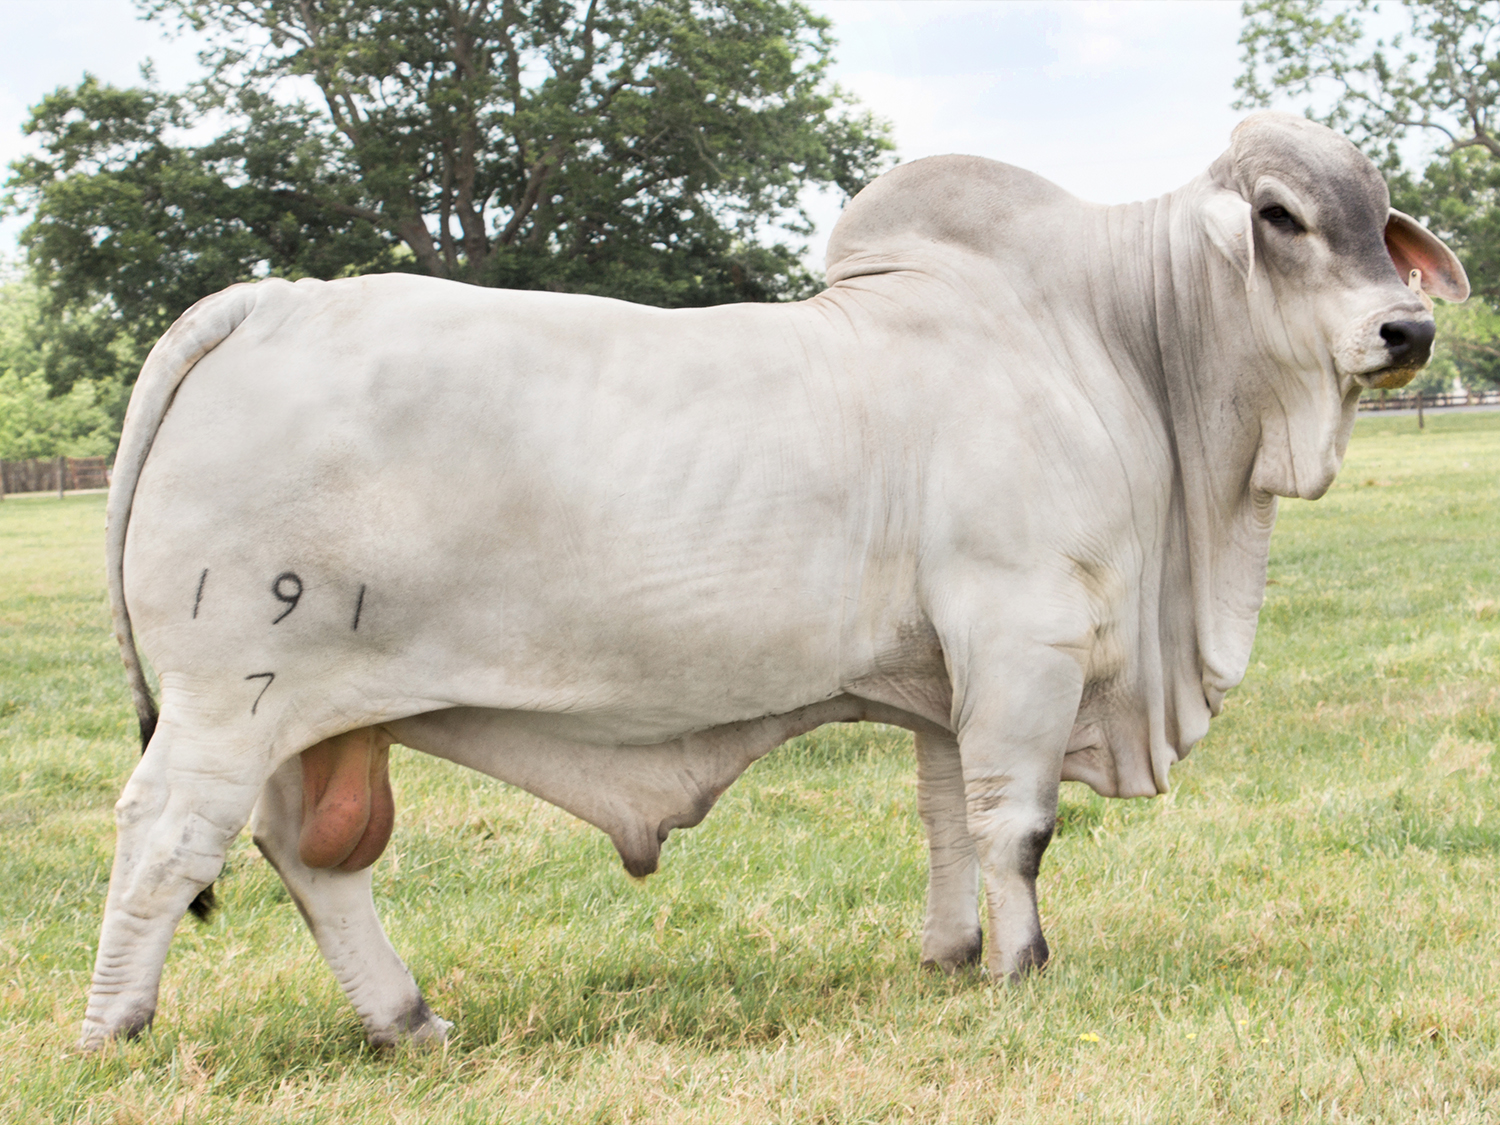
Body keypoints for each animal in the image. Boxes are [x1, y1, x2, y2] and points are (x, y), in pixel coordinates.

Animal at [79, 112, 1464, 1050]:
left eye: (1378, 213)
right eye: (1281, 216)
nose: (1409, 331)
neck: (1114, 345)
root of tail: (266, 304)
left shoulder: (945, 675)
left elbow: (946, 818)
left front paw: (951, 957)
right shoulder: (1025, 635)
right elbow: (1016, 824)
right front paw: (1023, 971)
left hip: (303, 719)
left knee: (307, 860)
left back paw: (407, 1021)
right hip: (230, 695)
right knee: (166, 838)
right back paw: (115, 1035)